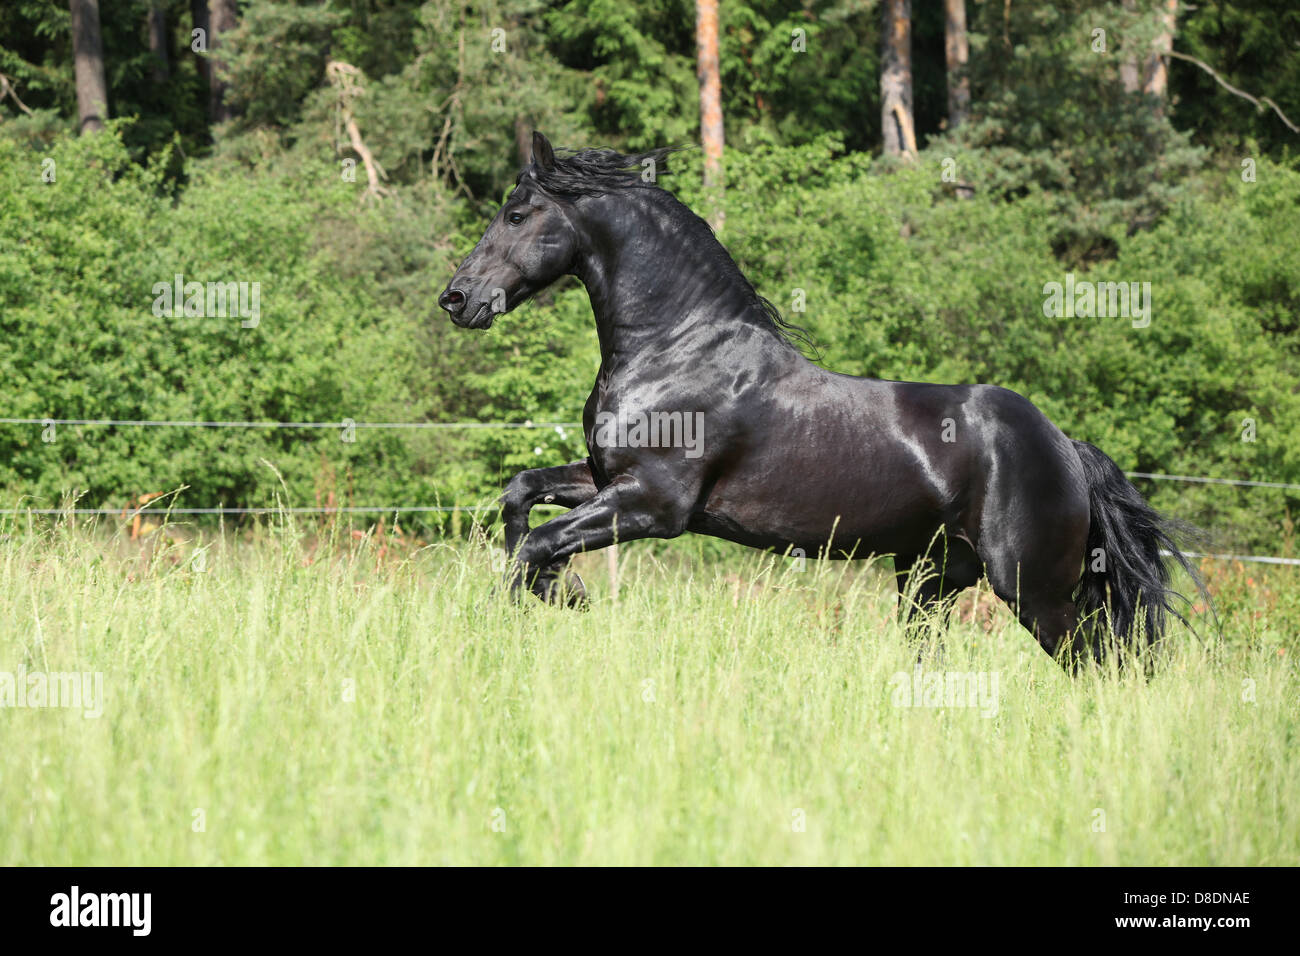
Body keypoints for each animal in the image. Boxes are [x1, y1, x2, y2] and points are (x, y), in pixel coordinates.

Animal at [438, 131, 1200, 670]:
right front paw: (564, 591)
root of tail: (1066, 447)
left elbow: (534, 544)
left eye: (517, 214)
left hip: (1032, 589)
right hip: (930, 578)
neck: (676, 349)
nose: (457, 299)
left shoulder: (652, 505)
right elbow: (520, 496)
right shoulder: (606, 480)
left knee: (1096, 664)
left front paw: (543, 603)